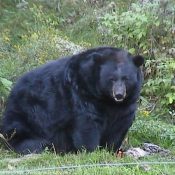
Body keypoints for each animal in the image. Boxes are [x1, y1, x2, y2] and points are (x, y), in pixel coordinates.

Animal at [0, 46, 144, 154]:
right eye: (111, 79)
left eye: (126, 78)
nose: (119, 95)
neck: (106, 99)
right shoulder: (81, 91)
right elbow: (87, 121)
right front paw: (91, 151)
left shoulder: (126, 104)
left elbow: (119, 124)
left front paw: (110, 150)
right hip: (26, 115)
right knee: (24, 137)